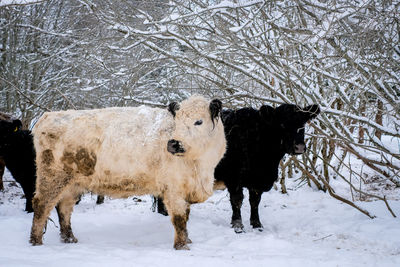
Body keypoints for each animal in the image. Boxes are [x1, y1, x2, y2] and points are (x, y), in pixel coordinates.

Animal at [29, 96, 227, 251]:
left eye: (199, 121)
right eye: (176, 122)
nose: (173, 144)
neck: (201, 167)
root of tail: (48, 116)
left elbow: (186, 216)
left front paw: (188, 240)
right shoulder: (173, 190)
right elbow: (179, 219)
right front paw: (182, 246)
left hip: (72, 183)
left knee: (64, 208)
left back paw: (69, 239)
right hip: (52, 177)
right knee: (41, 205)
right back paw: (36, 241)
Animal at [153, 103, 318, 233]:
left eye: (303, 123)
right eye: (282, 124)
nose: (299, 147)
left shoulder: (257, 182)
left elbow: (255, 202)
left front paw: (257, 225)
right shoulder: (234, 178)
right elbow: (237, 200)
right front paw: (238, 226)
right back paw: (163, 213)